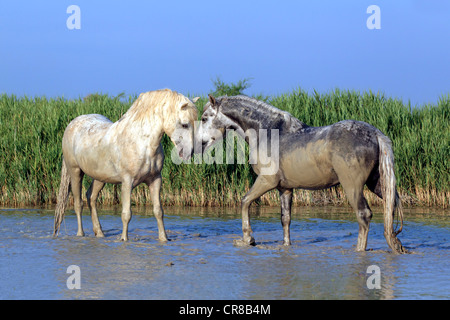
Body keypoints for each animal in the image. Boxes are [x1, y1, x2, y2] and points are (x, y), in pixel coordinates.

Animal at [53, 89, 198, 241]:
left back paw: (100, 233)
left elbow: (158, 211)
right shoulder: (127, 182)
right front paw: (124, 239)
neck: (142, 143)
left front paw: (164, 239)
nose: (189, 153)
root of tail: (72, 124)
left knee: (91, 197)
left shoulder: (155, 180)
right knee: (78, 204)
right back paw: (80, 234)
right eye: (184, 124)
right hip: (75, 172)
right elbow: (126, 214)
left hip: (100, 177)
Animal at [197, 94, 408, 254]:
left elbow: (245, 201)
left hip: (352, 186)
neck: (268, 132)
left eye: (205, 118)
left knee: (363, 215)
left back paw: (359, 250)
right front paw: (285, 245)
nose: (198, 144)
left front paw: (248, 238)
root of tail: (375, 134)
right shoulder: (285, 188)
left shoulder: (266, 181)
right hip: (378, 184)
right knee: (390, 206)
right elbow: (285, 219)